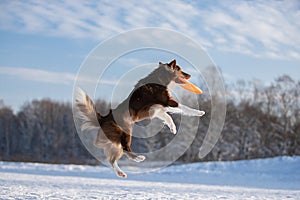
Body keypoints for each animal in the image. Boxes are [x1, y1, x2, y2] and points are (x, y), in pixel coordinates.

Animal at [73, 58, 205, 177]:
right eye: (180, 70)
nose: (190, 75)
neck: (160, 78)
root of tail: (103, 119)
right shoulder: (167, 101)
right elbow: (184, 108)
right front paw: (199, 112)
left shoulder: (157, 110)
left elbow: (169, 117)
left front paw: (173, 128)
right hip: (126, 132)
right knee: (126, 150)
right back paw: (139, 158)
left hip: (114, 142)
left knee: (112, 159)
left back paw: (121, 173)